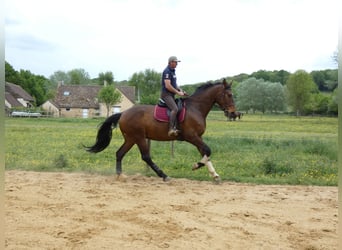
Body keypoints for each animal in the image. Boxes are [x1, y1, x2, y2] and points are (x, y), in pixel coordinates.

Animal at [85, 79, 235, 183]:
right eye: (229, 94)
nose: (233, 113)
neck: (195, 108)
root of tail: (123, 113)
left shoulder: (198, 137)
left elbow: (205, 152)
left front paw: (215, 175)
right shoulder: (192, 136)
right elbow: (207, 150)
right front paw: (196, 166)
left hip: (131, 138)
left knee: (120, 153)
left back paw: (120, 175)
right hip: (139, 137)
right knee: (146, 156)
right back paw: (164, 176)